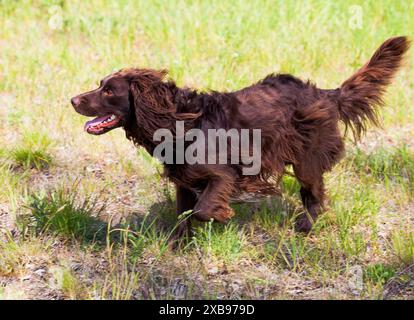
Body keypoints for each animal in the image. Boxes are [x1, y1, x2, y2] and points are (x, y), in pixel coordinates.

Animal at [72, 36, 410, 239]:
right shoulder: (183, 179)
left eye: (109, 91)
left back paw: (305, 226)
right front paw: (178, 245)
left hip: (307, 158)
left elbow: (202, 209)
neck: (178, 121)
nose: (73, 100)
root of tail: (325, 94)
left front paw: (222, 216)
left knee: (314, 195)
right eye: (100, 84)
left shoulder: (223, 173)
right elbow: (183, 214)